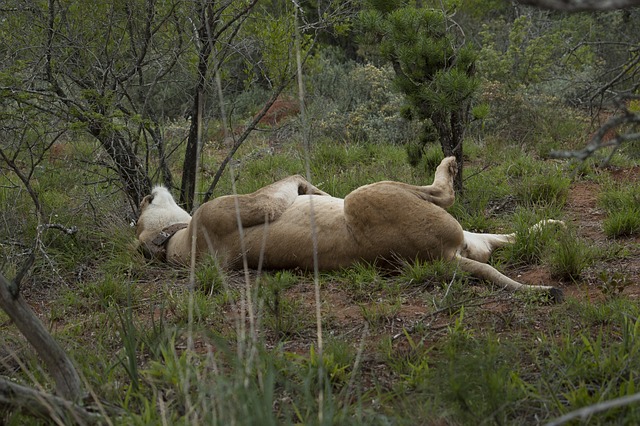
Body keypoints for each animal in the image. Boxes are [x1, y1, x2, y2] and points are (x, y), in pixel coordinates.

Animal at [136, 156, 564, 300]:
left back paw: (554, 224)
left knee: (514, 237)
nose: (145, 192)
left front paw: (316, 190)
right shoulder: (248, 205)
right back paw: (448, 164)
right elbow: (288, 180)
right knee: (443, 193)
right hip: (368, 194)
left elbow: (304, 184)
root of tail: (443, 258)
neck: (176, 238)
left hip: (470, 241)